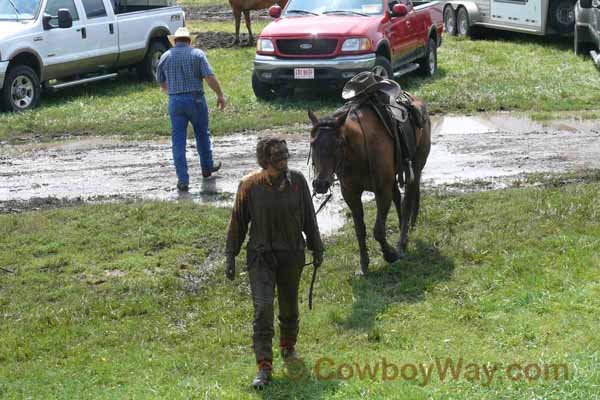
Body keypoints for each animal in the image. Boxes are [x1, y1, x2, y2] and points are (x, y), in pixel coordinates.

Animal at [310, 98, 432, 276]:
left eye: (339, 144)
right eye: (312, 144)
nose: (320, 184)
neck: (359, 150)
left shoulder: (382, 191)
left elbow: (378, 231)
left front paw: (390, 254)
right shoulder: (351, 194)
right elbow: (360, 230)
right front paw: (363, 265)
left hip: (415, 169)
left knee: (407, 202)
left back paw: (401, 244)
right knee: (398, 199)